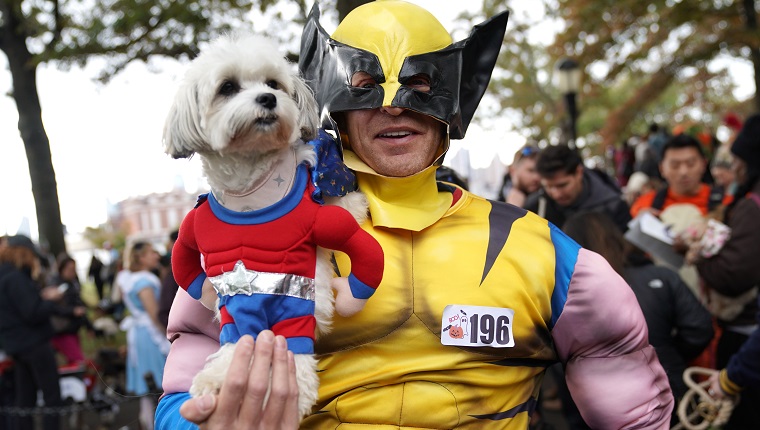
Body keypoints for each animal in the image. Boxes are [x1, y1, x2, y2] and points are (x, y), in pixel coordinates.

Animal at [164, 34, 382, 420]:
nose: (268, 98)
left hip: (332, 175)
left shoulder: (298, 295)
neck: (252, 196)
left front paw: (293, 395)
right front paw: (216, 380)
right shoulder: (236, 300)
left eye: (273, 84)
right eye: (227, 87)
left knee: (343, 202)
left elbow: (297, 341)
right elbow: (232, 340)